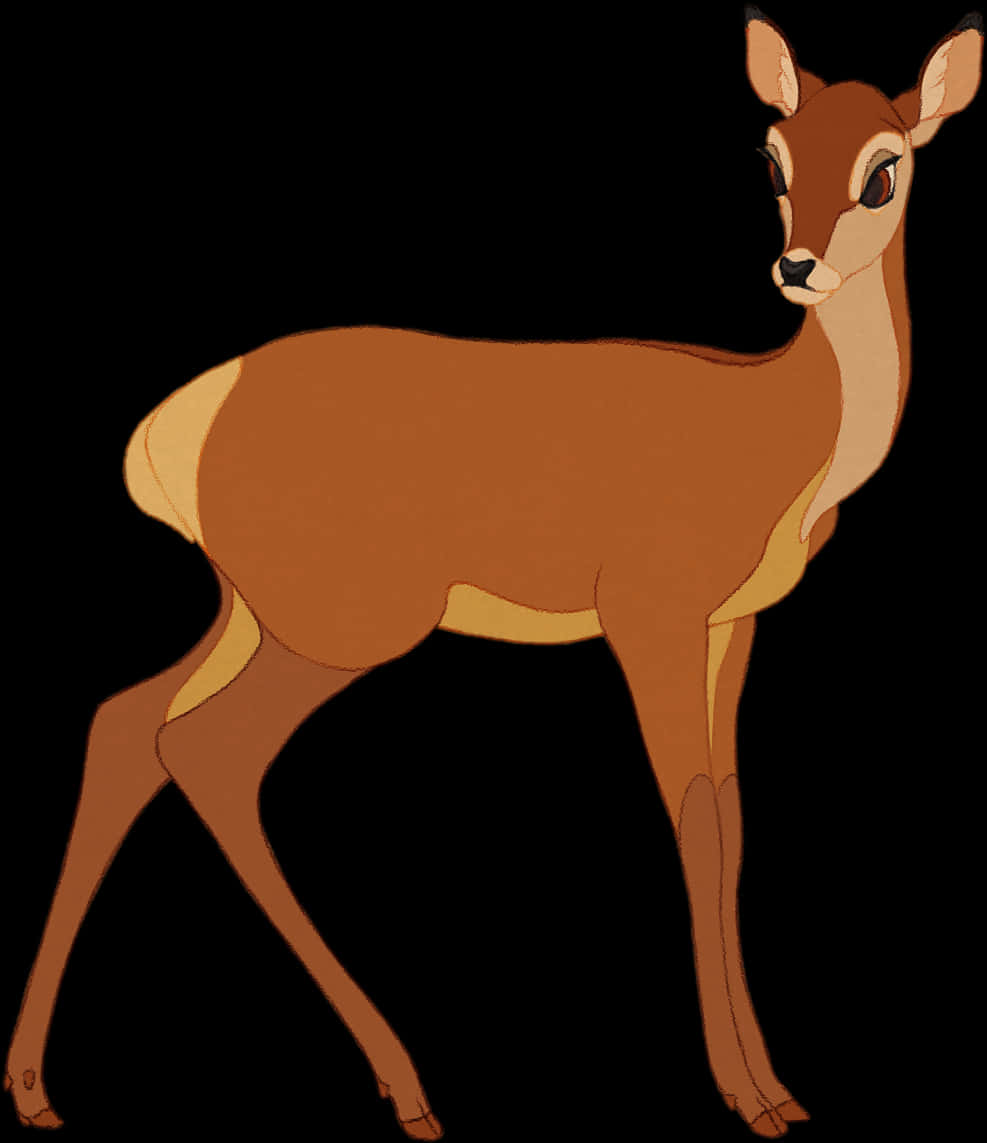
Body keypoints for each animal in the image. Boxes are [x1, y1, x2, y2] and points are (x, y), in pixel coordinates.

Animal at [6, 7, 982, 1139]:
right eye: (773, 159)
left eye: (884, 168)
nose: (796, 267)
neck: (784, 430)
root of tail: (171, 427)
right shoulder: (647, 613)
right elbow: (693, 817)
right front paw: (748, 1100)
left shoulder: (731, 626)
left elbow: (735, 818)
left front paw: (781, 1086)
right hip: (346, 627)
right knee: (208, 749)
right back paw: (410, 1089)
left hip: (251, 611)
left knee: (126, 724)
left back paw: (33, 1089)